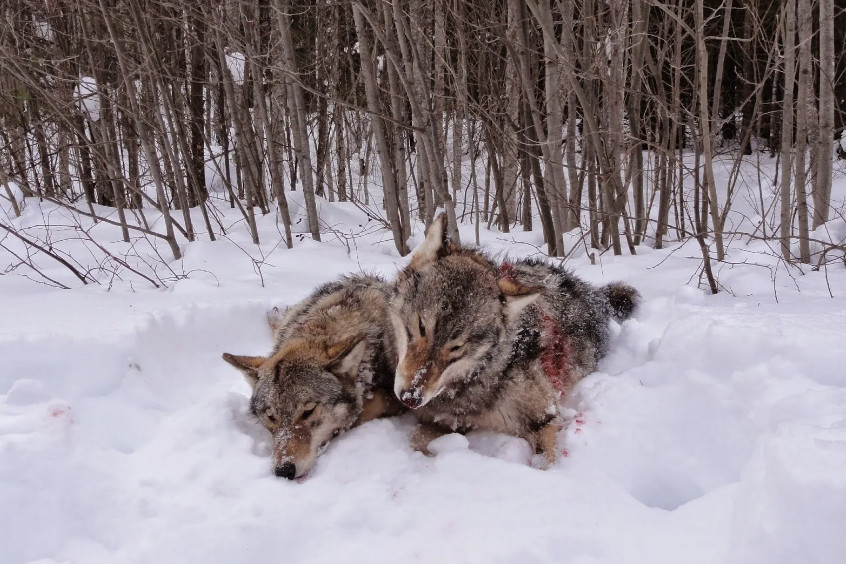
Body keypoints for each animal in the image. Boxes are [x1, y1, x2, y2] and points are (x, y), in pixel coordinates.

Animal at [394, 214, 640, 464]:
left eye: (457, 347)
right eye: (421, 327)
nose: (411, 398)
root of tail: (595, 295)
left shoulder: (545, 416)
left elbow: (545, 462)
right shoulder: (446, 421)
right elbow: (415, 439)